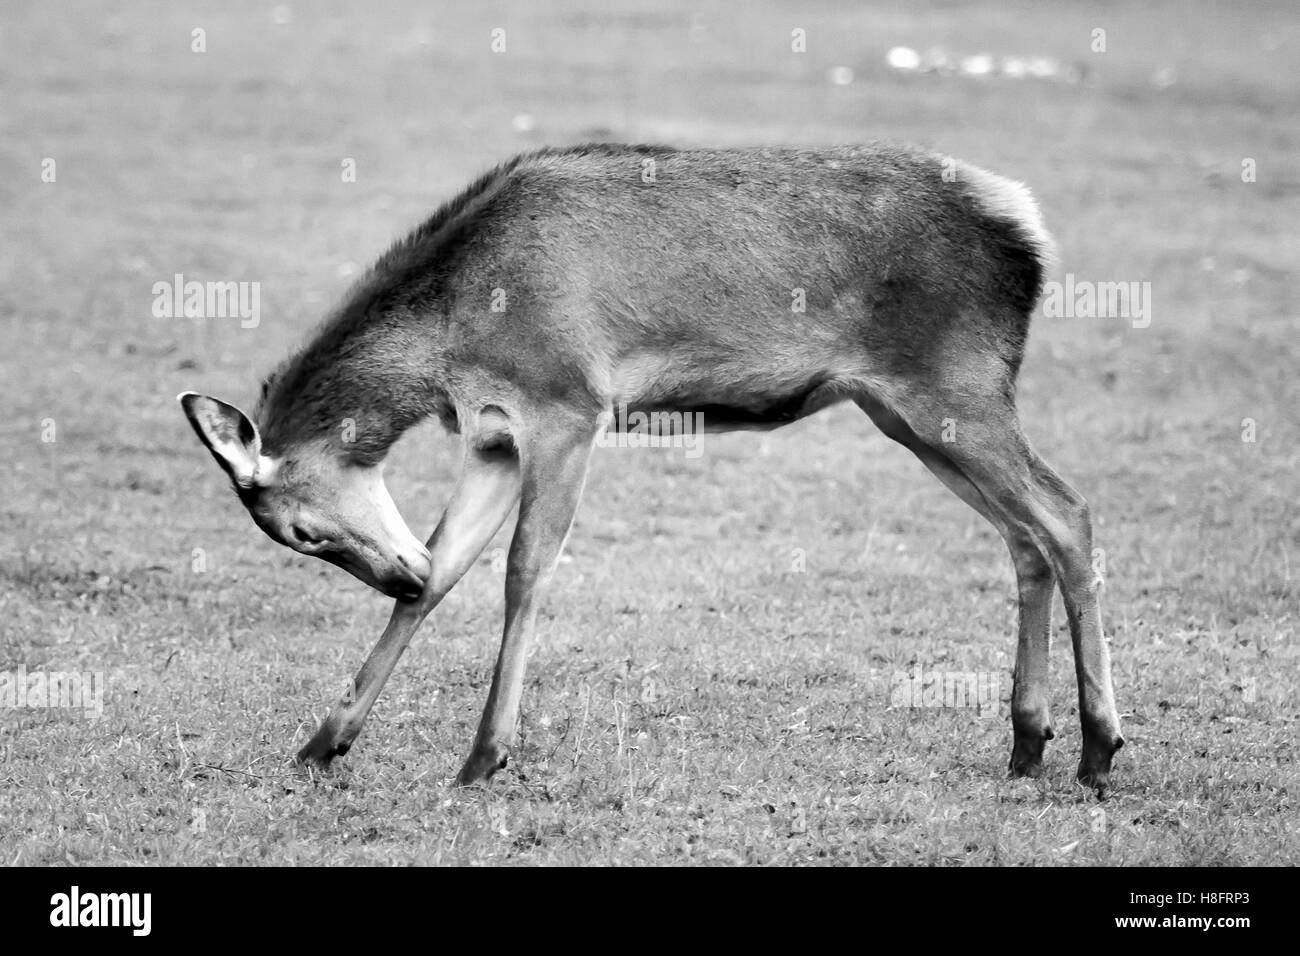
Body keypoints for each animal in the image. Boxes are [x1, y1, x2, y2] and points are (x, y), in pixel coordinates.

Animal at [178, 141, 1123, 796]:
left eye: (303, 532)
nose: (393, 579)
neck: (454, 338)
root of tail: (1027, 228)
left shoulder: (566, 407)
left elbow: (523, 571)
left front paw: (485, 756)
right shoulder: (492, 437)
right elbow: (448, 566)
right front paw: (322, 742)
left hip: (954, 388)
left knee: (1069, 512)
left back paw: (1097, 747)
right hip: (908, 414)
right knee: (1025, 538)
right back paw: (1026, 744)